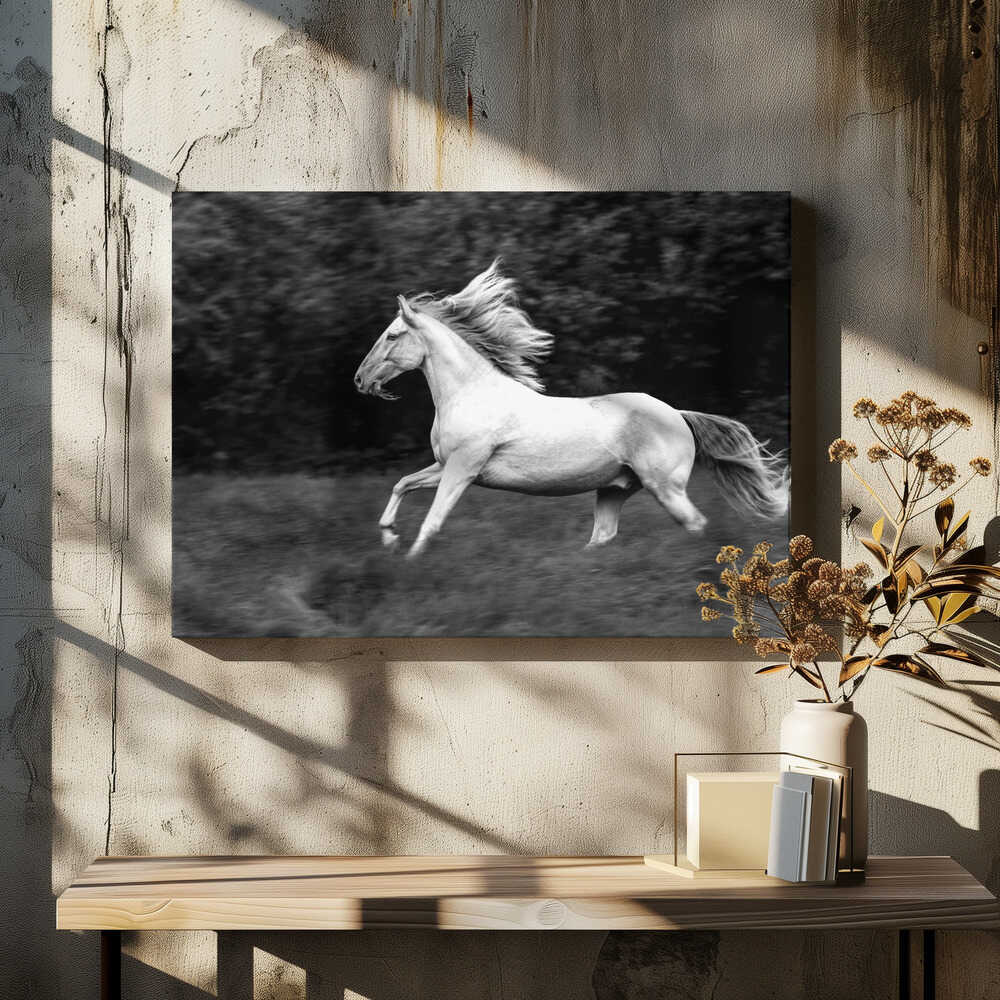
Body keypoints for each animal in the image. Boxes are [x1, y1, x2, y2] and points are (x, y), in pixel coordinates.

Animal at [354, 261, 788, 559]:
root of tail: (679, 415)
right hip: (614, 489)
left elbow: (432, 521)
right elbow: (402, 484)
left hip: (665, 487)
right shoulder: (445, 466)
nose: (359, 380)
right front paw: (389, 537)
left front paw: (410, 560)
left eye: (392, 335)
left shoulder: (463, 468)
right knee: (602, 538)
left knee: (695, 525)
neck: (471, 394)